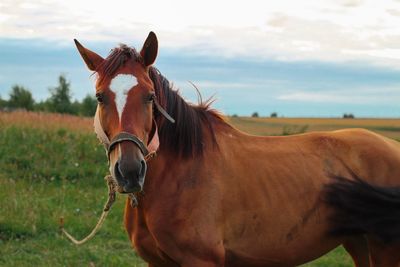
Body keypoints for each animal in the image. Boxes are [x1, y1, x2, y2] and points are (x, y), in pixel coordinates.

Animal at [74, 32, 400, 266]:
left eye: (150, 96)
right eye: (100, 97)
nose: (130, 171)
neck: (181, 174)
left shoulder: (203, 261)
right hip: (359, 243)